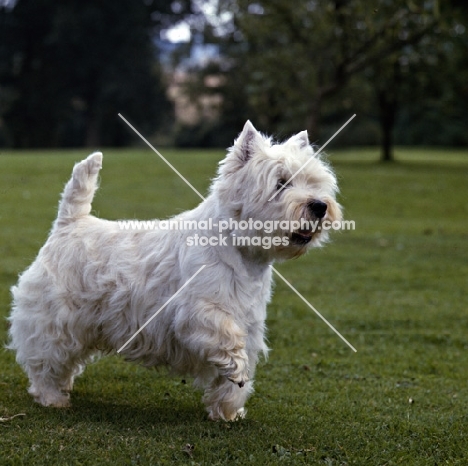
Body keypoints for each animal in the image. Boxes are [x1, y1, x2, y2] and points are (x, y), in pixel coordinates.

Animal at [8, 122, 340, 420]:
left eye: (315, 183)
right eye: (280, 183)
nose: (319, 206)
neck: (243, 255)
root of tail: (70, 223)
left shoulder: (250, 322)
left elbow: (235, 373)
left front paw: (228, 411)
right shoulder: (196, 312)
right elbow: (228, 338)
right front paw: (236, 369)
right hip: (56, 318)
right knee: (45, 359)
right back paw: (52, 397)